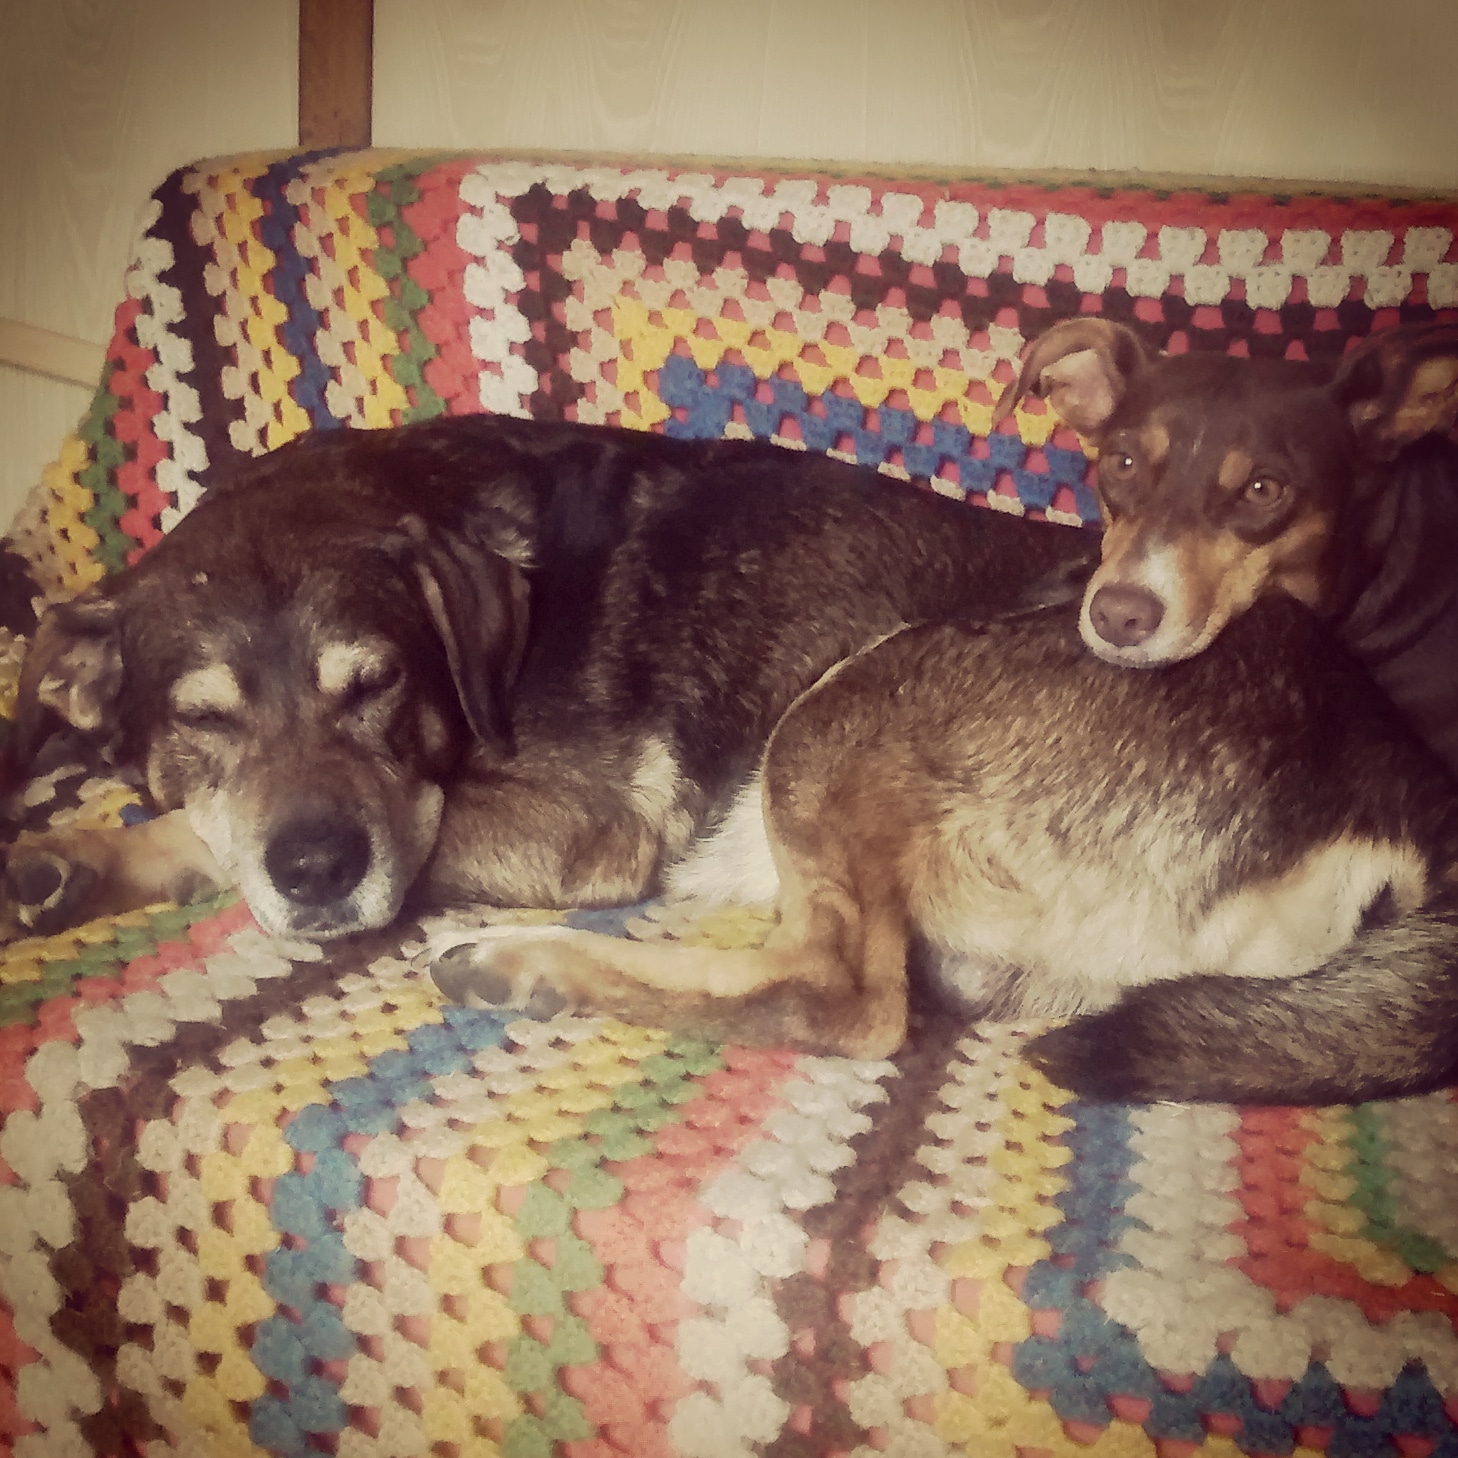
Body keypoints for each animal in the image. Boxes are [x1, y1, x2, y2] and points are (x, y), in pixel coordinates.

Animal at [3, 413, 1094, 942]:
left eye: (378, 684)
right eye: (201, 719)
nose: (319, 871)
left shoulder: (584, 824)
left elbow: (211, 837)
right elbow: (211, 829)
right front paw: (66, 869)